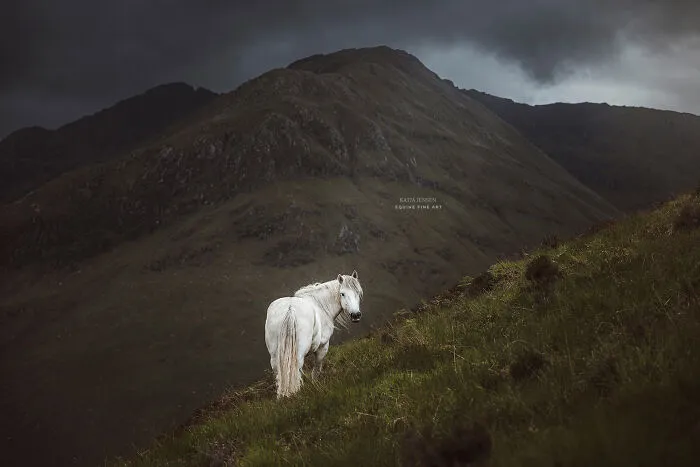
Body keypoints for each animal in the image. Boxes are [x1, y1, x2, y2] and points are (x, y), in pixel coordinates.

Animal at [264, 270, 364, 399]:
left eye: (358, 292)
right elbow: (316, 369)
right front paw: (315, 385)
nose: (356, 315)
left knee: (279, 374)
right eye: (342, 294)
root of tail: (290, 310)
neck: (321, 305)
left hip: (275, 356)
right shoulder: (323, 347)